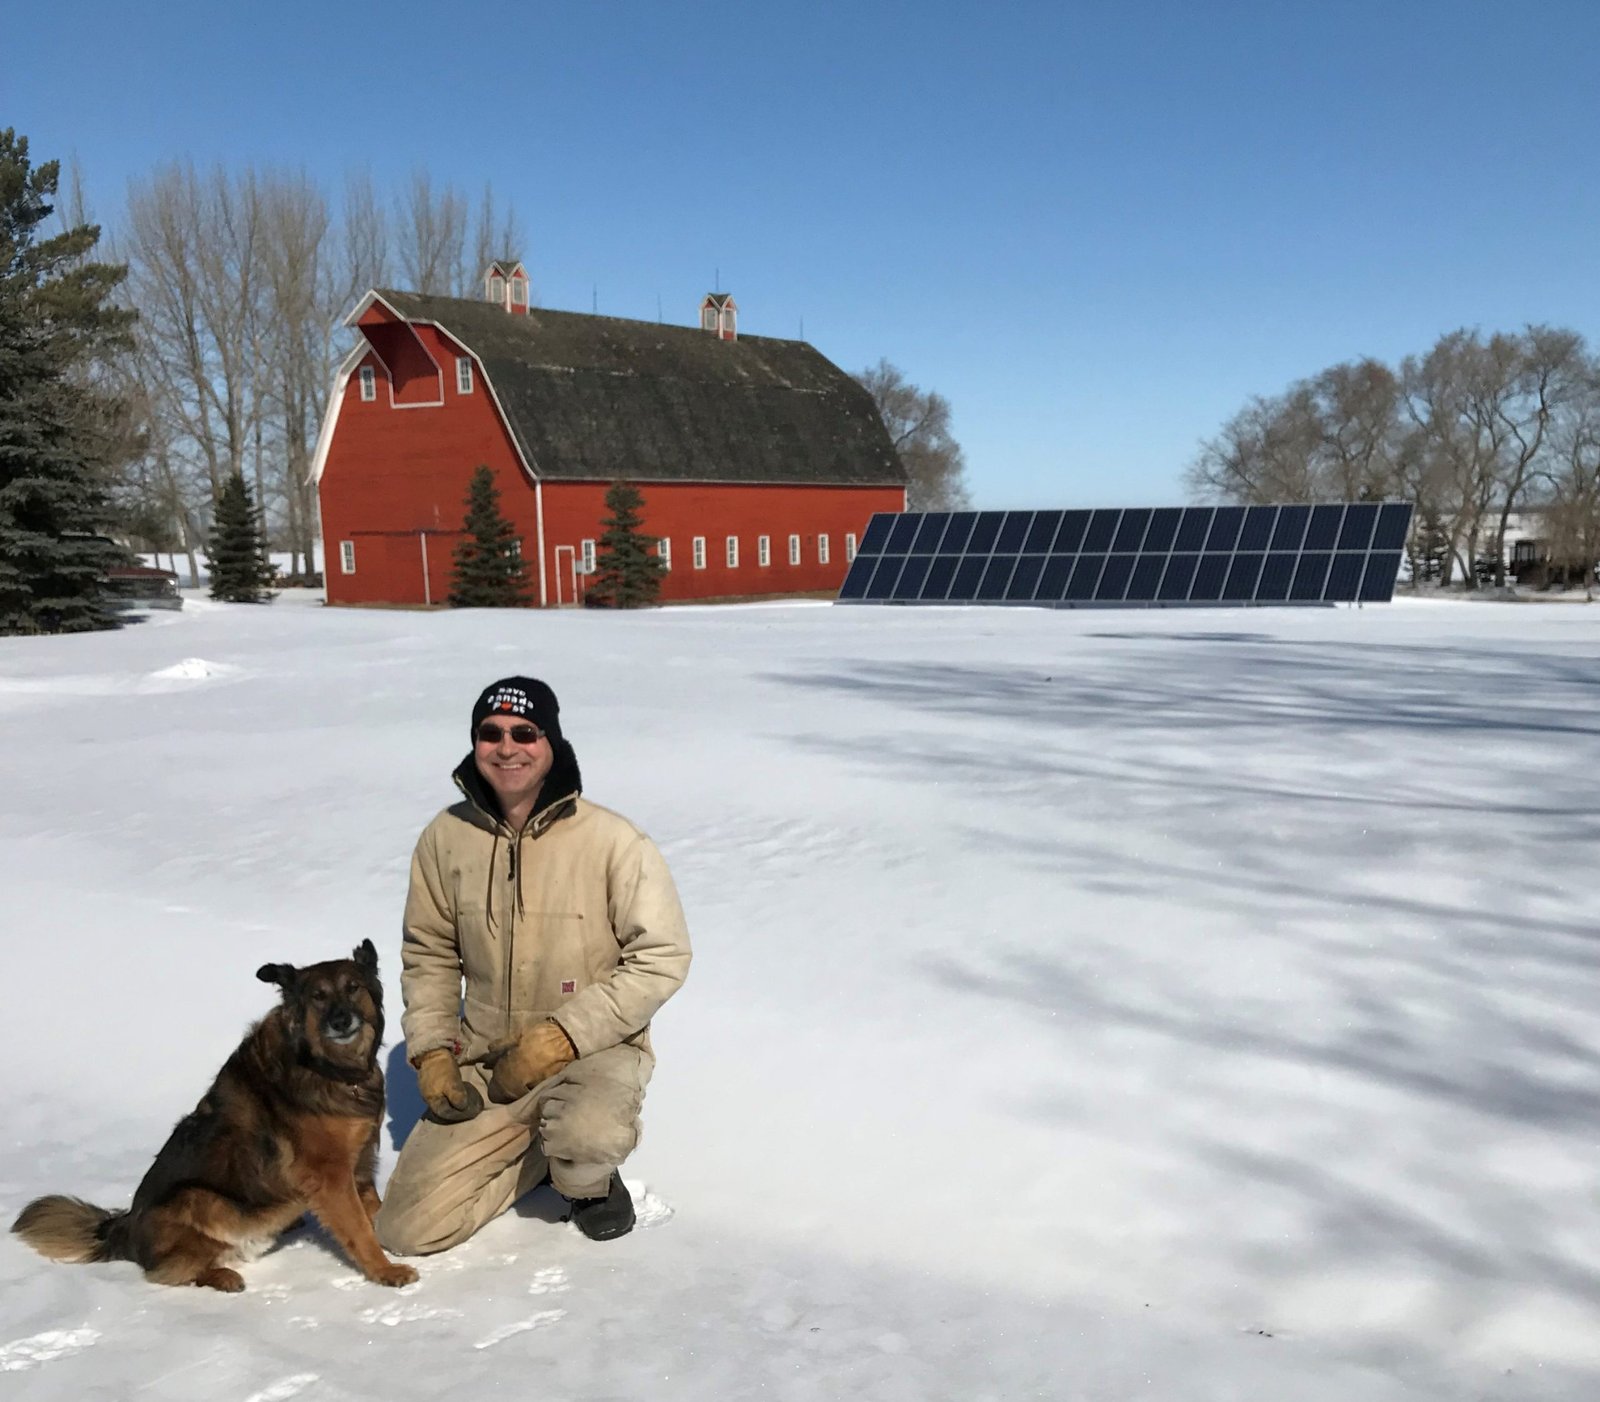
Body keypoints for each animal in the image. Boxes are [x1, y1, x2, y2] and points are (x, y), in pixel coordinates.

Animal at [14, 941, 412, 1293]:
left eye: (353, 988)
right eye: (318, 996)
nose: (341, 1021)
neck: (326, 1067)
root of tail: (122, 1228)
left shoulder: (360, 1161)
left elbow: (375, 1213)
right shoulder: (329, 1174)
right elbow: (359, 1228)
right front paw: (386, 1271)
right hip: (197, 1196)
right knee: (174, 1270)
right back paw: (222, 1276)